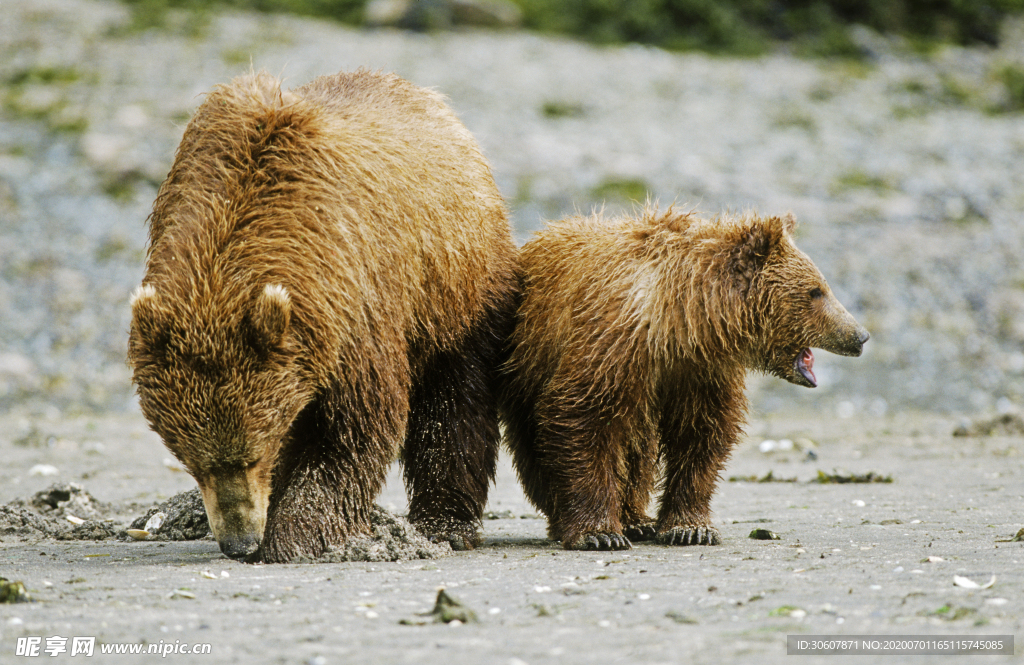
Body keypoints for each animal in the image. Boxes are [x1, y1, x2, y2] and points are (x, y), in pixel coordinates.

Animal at [129, 71, 520, 561]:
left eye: (254, 453)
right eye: (191, 459)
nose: (239, 542)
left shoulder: (352, 298)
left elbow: (351, 428)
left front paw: (292, 534)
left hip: (454, 281)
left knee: (453, 401)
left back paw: (443, 523)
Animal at [499, 205, 868, 549]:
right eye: (815, 291)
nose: (859, 335)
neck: (680, 323)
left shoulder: (699, 371)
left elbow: (701, 434)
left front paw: (690, 528)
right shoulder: (612, 349)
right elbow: (581, 421)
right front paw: (599, 533)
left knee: (638, 449)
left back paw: (637, 520)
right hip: (528, 364)